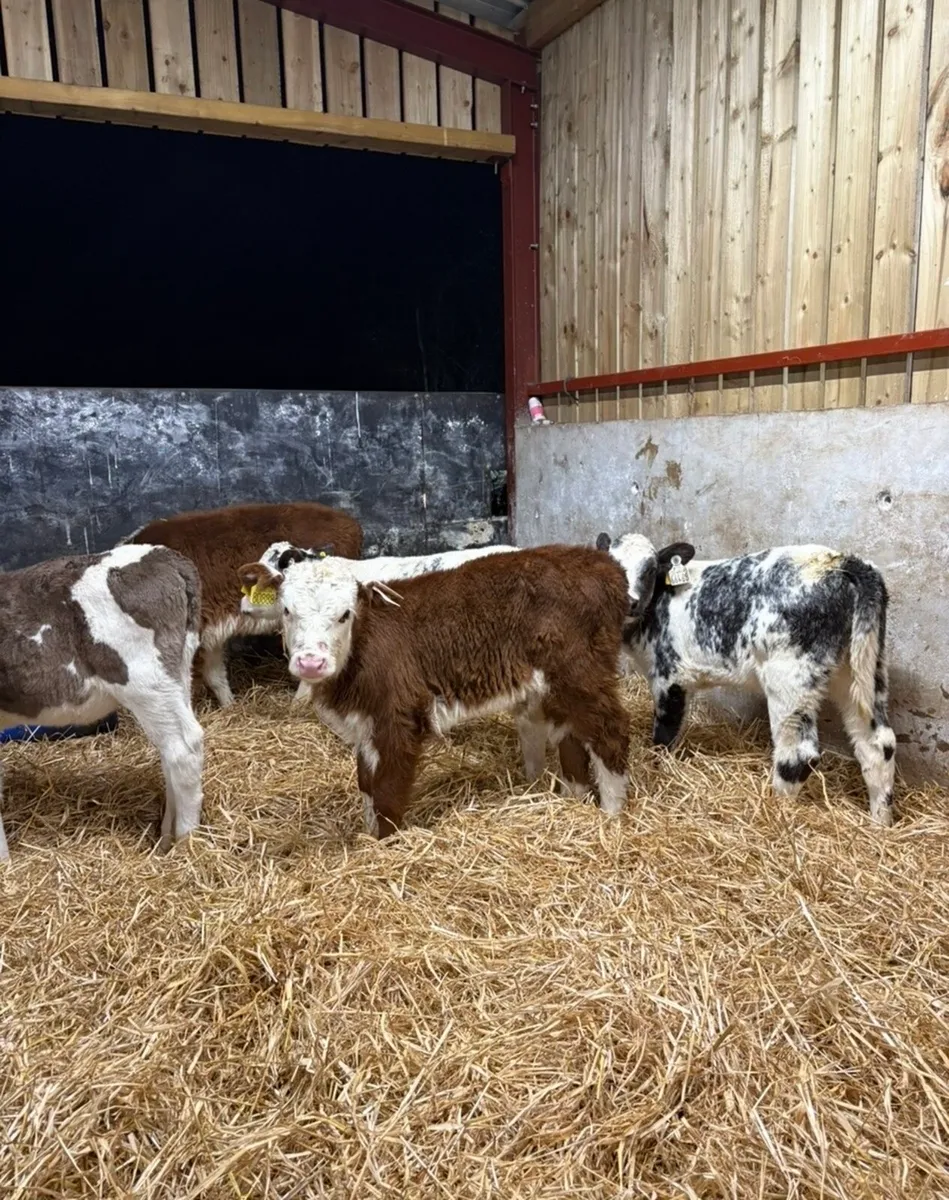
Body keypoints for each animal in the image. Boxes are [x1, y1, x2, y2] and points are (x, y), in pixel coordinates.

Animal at [0, 545, 204, 859]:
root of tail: (164, 556)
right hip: (177, 674)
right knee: (170, 751)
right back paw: (165, 838)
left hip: (144, 680)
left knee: (184, 749)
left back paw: (185, 844)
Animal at [236, 546, 632, 837]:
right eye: (288, 610)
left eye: (345, 614)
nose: (311, 663)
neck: (362, 648)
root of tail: (600, 563)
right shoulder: (365, 724)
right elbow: (366, 785)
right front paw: (368, 834)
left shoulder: (399, 718)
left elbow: (387, 791)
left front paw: (384, 845)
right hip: (561, 685)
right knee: (573, 736)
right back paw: (574, 800)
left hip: (579, 673)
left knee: (610, 731)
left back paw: (612, 813)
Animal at [597, 531, 897, 826]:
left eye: (648, 569)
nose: (629, 602)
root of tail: (843, 561)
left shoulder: (669, 677)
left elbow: (664, 736)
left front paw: (658, 771)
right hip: (862, 672)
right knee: (878, 745)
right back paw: (879, 825)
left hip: (791, 678)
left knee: (797, 756)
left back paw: (777, 815)